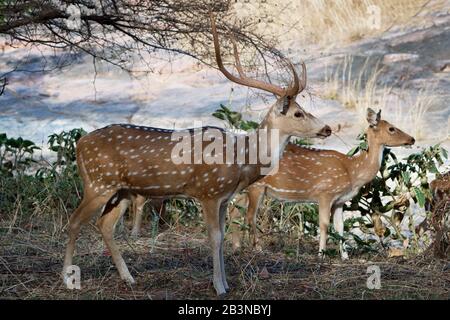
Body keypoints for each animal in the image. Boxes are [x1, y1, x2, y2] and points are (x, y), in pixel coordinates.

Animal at [62, 14, 330, 296]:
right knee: (74, 221)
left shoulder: (224, 197)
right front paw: (219, 287)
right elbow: (214, 236)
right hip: (97, 182)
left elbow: (222, 235)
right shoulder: (209, 191)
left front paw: (226, 282)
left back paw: (128, 278)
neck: (242, 160)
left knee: (104, 224)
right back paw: (68, 279)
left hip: (121, 189)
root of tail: (79, 144)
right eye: (298, 113)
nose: (327, 128)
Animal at [230, 109, 416, 258]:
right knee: (250, 215)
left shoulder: (340, 200)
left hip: (245, 189)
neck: (352, 171)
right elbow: (324, 224)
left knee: (234, 212)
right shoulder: (325, 192)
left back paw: (236, 247)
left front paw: (345, 256)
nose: (412, 139)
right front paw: (321, 254)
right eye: (391, 128)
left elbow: (340, 227)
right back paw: (257, 248)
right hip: (257, 187)